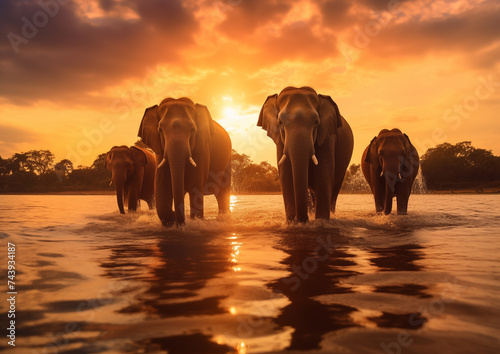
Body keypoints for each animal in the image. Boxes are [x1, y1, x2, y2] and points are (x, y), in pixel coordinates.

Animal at [137, 96, 230, 227]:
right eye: (160, 130)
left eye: (193, 130)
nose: (175, 215)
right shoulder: (159, 150)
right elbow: (162, 187)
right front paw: (171, 218)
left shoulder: (202, 148)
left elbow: (195, 185)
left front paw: (193, 221)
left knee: (223, 193)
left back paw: (223, 218)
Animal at [260, 86, 354, 223]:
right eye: (280, 123)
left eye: (316, 122)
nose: (302, 220)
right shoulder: (280, 142)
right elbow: (286, 177)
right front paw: (292, 223)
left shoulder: (326, 138)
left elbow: (323, 176)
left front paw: (321, 222)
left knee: (334, 190)